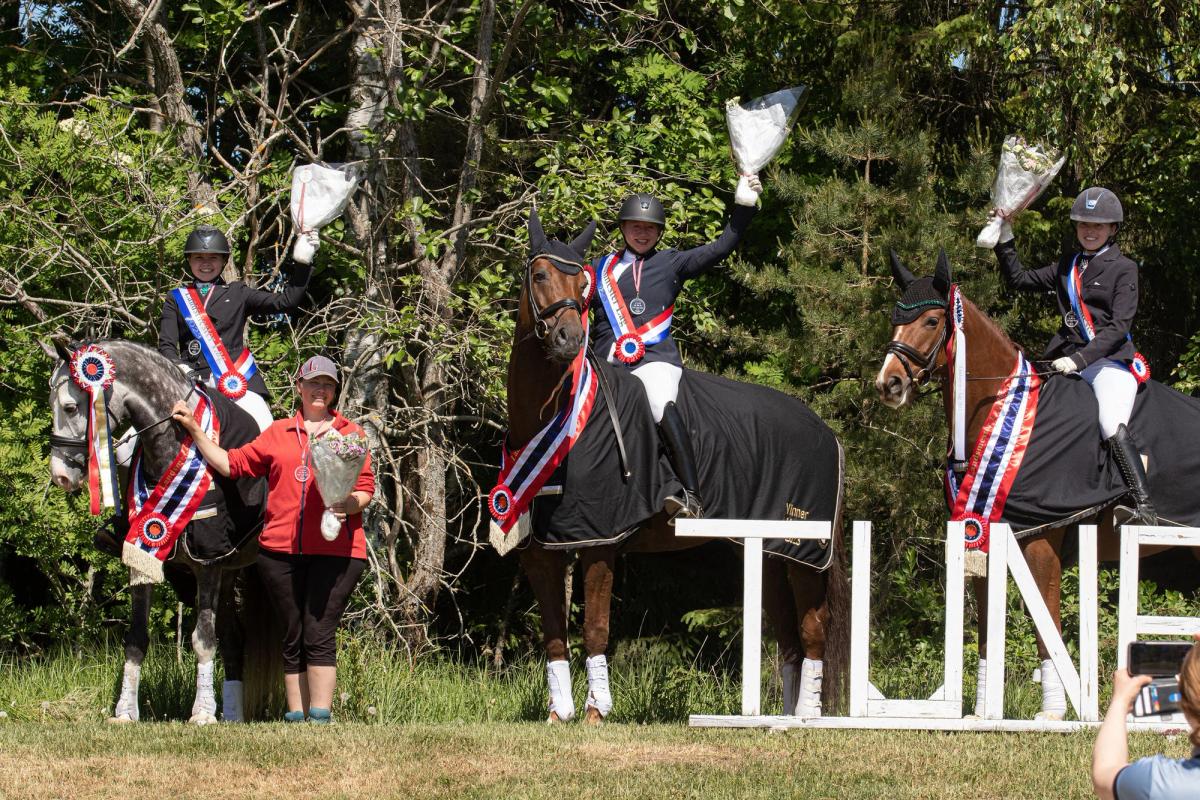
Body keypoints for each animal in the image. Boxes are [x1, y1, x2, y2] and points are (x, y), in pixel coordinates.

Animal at [46, 339, 270, 723]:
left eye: (71, 407)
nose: (61, 475)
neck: (173, 444)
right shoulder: (142, 553)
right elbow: (136, 638)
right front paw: (125, 711)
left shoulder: (207, 561)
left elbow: (202, 639)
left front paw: (202, 713)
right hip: (228, 573)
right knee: (233, 637)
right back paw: (233, 713)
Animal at [501, 210, 849, 723]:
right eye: (541, 275)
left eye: (583, 283)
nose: (569, 339)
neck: (557, 423)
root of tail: (825, 431)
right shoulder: (541, 550)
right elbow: (554, 638)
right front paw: (557, 714)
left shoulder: (599, 541)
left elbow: (596, 630)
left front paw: (596, 712)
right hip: (767, 552)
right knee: (788, 638)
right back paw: (784, 716)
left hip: (804, 553)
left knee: (812, 631)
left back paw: (805, 717)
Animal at [875, 249, 1200, 718]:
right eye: (895, 317)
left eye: (932, 321)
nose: (889, 384)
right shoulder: (984, 533)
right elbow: (987, 620)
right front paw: (981, 710)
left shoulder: (1042, 537)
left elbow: (1045, 618)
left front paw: (1054, 710)